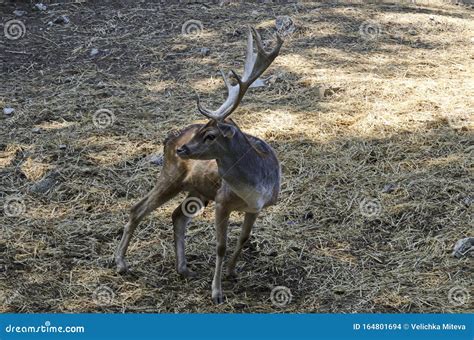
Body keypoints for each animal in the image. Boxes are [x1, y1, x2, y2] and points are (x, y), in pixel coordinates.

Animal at [115, 26, 284, 302]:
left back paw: (183, 268)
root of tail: (169, 138)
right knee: (137, 209)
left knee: (176, 216)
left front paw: (231, 272)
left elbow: (244, 239)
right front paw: (217, 292)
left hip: (198, 190)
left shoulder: (256, 208)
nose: (182, 149)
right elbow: (221, 246)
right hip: (171, 176)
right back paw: (121, 263)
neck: (255, 187)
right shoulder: (222, 201)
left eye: (211, 135)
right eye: (203, 130)